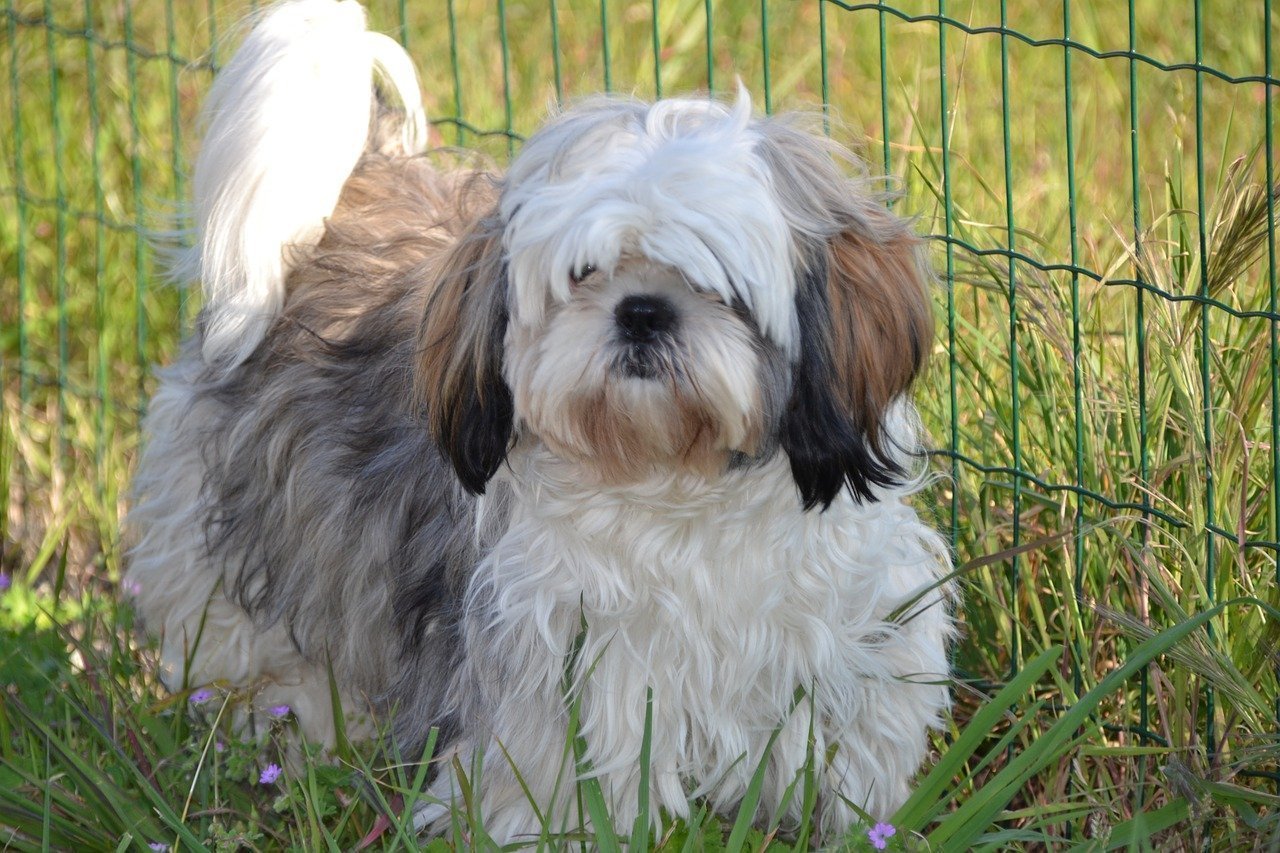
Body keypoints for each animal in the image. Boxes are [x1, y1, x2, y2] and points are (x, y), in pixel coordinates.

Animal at [124, 0, 957, 835]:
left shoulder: (855, 630)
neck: (675, 480)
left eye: (712, 282)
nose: (642, 312)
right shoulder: (570, 663)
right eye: (584, 273)